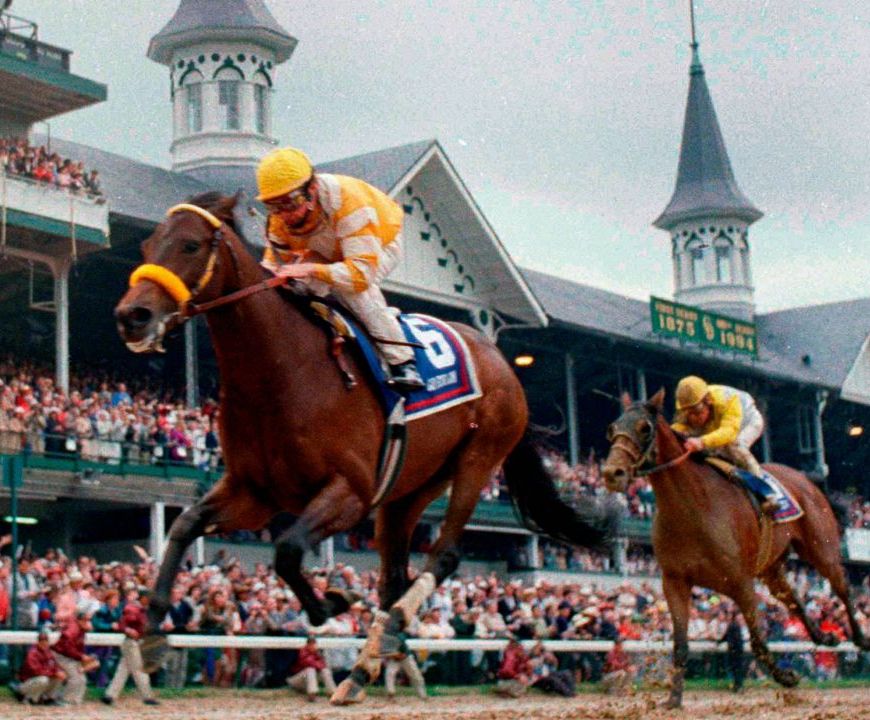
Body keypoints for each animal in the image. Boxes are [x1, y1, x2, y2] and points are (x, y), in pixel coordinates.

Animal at [113, 192, 611, 704]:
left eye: (191, 245)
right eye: (147, 245)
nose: (132, 317)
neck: (282, 372)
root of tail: (500, 360)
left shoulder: (349, 492)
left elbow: (287, 550)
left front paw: (335, 599)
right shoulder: (255, 494)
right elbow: (185, 525)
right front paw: (151, 630)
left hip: (478, 459)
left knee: (444, 555)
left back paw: (391, 629)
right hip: (408, 490)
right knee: (393, 577)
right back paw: (364, 666)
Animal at [601, 389, 869, 708]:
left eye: (644, 428)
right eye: (612, 428)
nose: (612, 473)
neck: (691, 508)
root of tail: (807, 480)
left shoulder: (741, 582)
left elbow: (757, 641)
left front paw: (786, 677)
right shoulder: (675, 582)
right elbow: (681, 644)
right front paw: (673, 699)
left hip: (821, 549)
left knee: (842, 588)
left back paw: (861, 638)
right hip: (770, 567)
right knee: (793, 598)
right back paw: (824, 637)